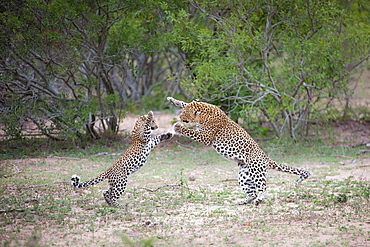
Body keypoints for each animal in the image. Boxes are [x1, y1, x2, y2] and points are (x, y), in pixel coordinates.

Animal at [167, 97, 310, 206]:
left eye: (184, 114)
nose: (179, 117)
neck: (204, 112)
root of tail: (266, 158)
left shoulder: (206, 137)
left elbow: (190, 131)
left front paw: (178, 127)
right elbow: (186, 102)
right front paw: (172, 100)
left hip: (256, 170)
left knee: (263, 188)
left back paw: (259, 200)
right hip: (244, 175)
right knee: (252, 192)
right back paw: (243, 201)